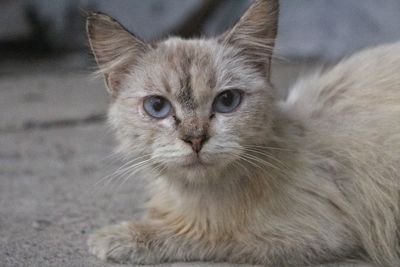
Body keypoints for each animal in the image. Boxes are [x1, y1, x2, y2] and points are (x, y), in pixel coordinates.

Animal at [86, 0, 400, 267]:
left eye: (227, 101)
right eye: (157, 106)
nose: (195, 139)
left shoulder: (312, 235)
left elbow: (203, 235)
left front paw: (120, 237)